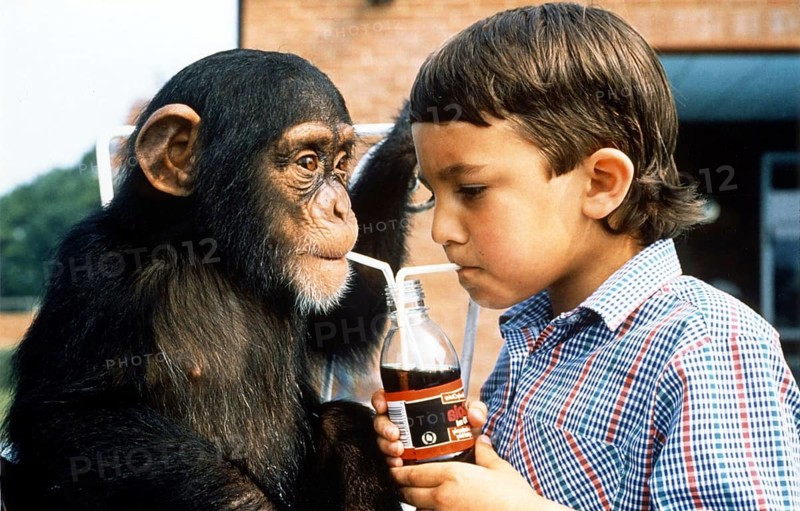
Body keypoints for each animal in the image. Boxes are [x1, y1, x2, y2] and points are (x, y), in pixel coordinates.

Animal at [0, 49, 418, 511]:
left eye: (342, 163)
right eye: (308, 162)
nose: (342, 208)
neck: (216, 256)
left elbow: (346, 317)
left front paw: (408, 132)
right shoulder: (95, 275)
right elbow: (69, 415)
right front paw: (245, 502)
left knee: (345, 425)